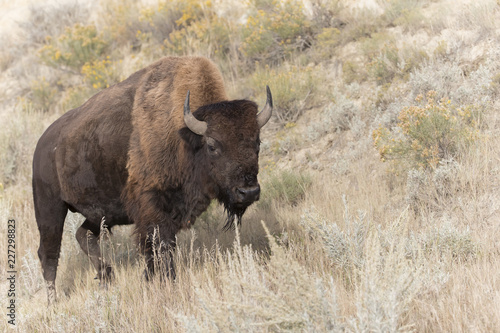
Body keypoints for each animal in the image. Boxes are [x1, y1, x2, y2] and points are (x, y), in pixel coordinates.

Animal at [32, 55, 274, 302]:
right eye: (213, 145)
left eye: (257, 142)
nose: (248, 192)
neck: (185, 136)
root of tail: (43, 143)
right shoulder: (151, 208)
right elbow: (160, 246)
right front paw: (166, 284)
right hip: (50, 208)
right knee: (49, 252)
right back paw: (53, 301)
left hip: (101, 213)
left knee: (85, 235)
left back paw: (107, 279)